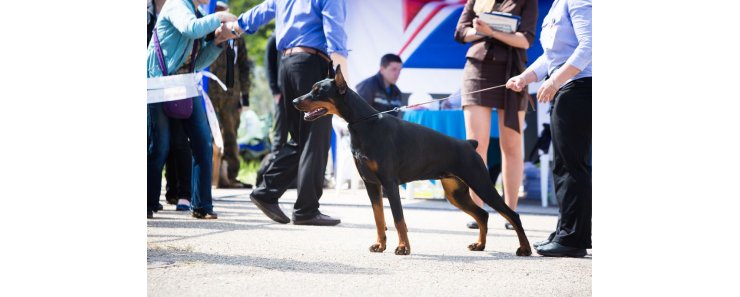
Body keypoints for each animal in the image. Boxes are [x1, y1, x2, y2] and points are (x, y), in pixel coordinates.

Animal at [292, 66, 528, 256]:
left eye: (318, 91)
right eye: (312, 89)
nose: (294, 101)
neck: (364, 124)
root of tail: (468, 144)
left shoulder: (389, 183)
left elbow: (398, 218)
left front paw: (403, 247)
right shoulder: (371, 184)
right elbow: (379, 218)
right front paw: (380, 245)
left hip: (481, 183)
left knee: (512, 214)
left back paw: (524, 248)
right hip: (456, 193)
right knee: (482, 215)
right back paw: (480, 245)